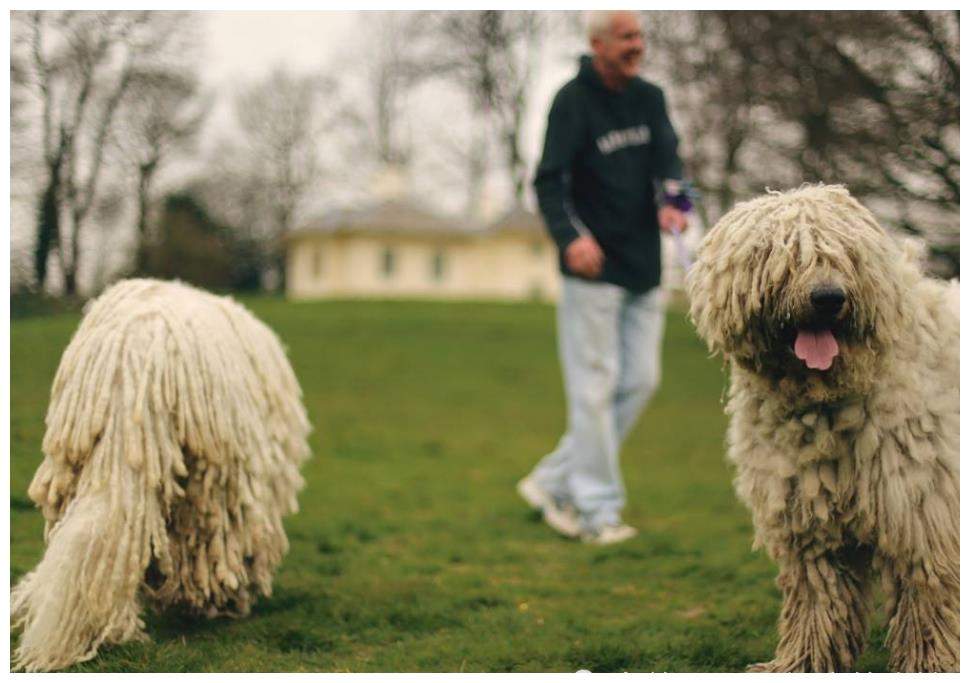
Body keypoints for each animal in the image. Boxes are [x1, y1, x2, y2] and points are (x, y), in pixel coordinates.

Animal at [684, 186, 956, 672]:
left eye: (846, 254)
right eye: (780, 254)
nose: (828, 297)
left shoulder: (921, 514)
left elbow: (924, 596)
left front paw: (929, 666)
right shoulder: (809, 517)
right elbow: (818, 598)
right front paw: (803, 662)